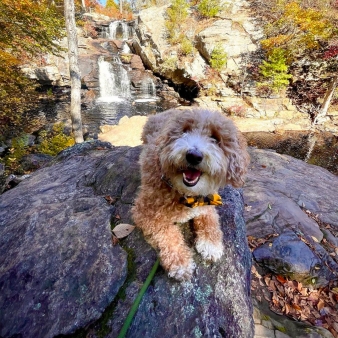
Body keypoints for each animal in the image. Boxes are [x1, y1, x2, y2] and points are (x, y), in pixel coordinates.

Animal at [132, 108, 251, 280]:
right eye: (184, 131)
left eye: (215, 138)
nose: (193, 155)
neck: (186, 194)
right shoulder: (145, 213)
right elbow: (168, 233)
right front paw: (180, 261)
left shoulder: (208, 202)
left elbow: (211, 222)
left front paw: (211, 244)